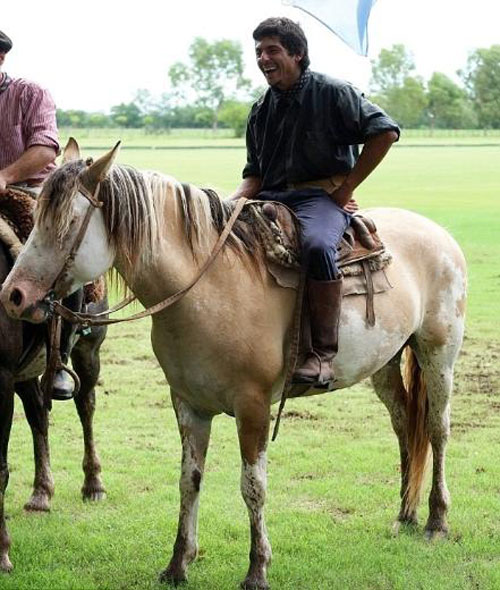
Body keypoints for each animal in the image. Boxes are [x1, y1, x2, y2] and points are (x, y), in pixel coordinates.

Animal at [0, 239, 107, 572]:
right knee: (38, 416)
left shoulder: (1, 378)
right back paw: (41, 493)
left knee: (86, 406)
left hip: (88, 349)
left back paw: (93, 484)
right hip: (25, 374)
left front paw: (2, 551)